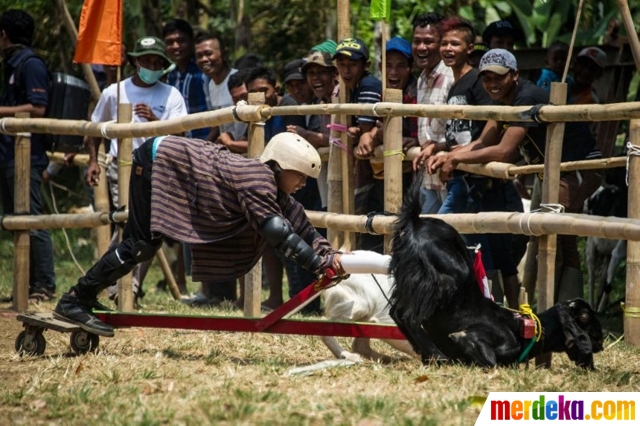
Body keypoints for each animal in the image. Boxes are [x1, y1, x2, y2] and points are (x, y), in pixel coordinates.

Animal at [390, 175, 604, 368]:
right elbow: (487, 357)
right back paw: (438, 355)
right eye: (587, 319)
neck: (524, 330)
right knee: (407, 316)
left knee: (396, 312)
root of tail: (416, 222)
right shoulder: (482, 340)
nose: (601, 343)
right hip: (445, 279)